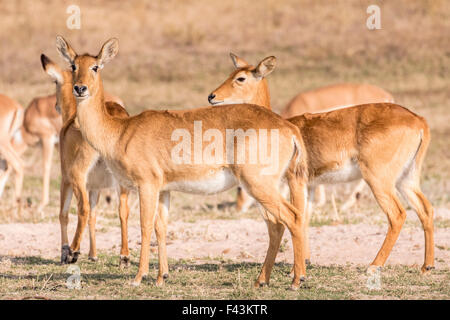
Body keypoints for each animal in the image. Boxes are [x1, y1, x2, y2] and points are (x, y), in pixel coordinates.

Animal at [55, 35, 310, 290]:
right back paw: (261, 280)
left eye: (95, 66)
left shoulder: (146, 185)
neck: (120, 131)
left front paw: (138, 277)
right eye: (73, 65)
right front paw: (162, 277)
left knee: (293, 217)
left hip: (258, 185)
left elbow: (145, 225)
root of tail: (288, 128)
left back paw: (296, 280)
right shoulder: (164, 190)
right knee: (278, 223)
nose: (80, 88)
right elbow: (160, 227)